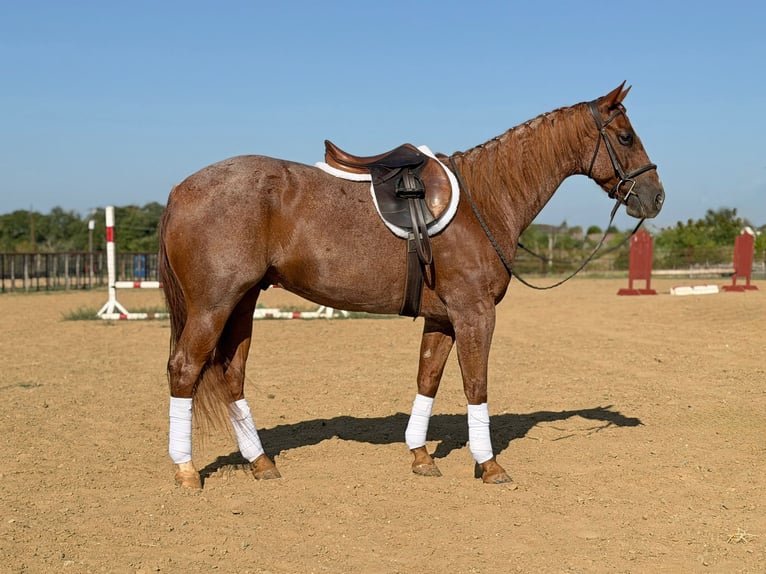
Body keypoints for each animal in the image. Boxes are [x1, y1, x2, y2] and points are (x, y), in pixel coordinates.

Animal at [158, 82, 665, 489]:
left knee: (232, 376)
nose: (655, 197)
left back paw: (261, 463)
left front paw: (421, 457)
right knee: (184, 369)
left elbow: (428, 378)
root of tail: (181, 189)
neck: (484, 200)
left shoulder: (443, 318)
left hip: (242, 304)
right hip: (213, 306)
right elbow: (476, 385)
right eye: (625, 136)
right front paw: (489, 466)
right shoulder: (475, 313)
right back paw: (185, 472)